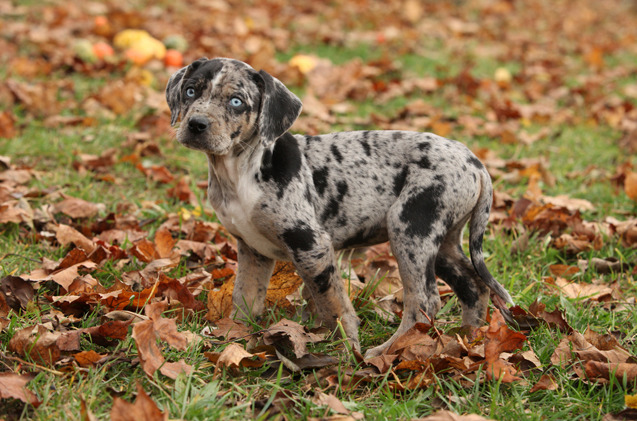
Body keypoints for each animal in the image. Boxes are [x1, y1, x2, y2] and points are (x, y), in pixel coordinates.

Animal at [164, 56, 512, 358]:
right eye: (190, 91)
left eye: (236, 102)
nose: (196, 124)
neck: (238, 172)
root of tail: (475, 163)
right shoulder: (252, 250)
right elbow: (245, 299)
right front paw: (233, 338)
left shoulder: (311, 244)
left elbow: (332, 303)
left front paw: (346, 349)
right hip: (441, 240)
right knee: (473, 286)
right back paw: (467, 341)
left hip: (411, 227)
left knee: (425, 301)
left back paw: (387, 352)